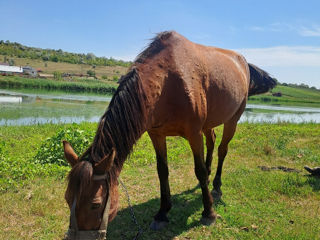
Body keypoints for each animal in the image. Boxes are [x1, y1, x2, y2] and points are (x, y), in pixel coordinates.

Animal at [62, 30, 276, 238]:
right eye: (67, 198)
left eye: (95, 204)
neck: (169, 81)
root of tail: (242, 63)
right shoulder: (157, 135)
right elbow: (162, 171)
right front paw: (162, 213)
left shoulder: (194, 134)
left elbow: (198, 170)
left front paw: (209, 213)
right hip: (209, 124)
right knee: (212, 142)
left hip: (232, 120)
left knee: (222, 150)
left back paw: (216, 186)